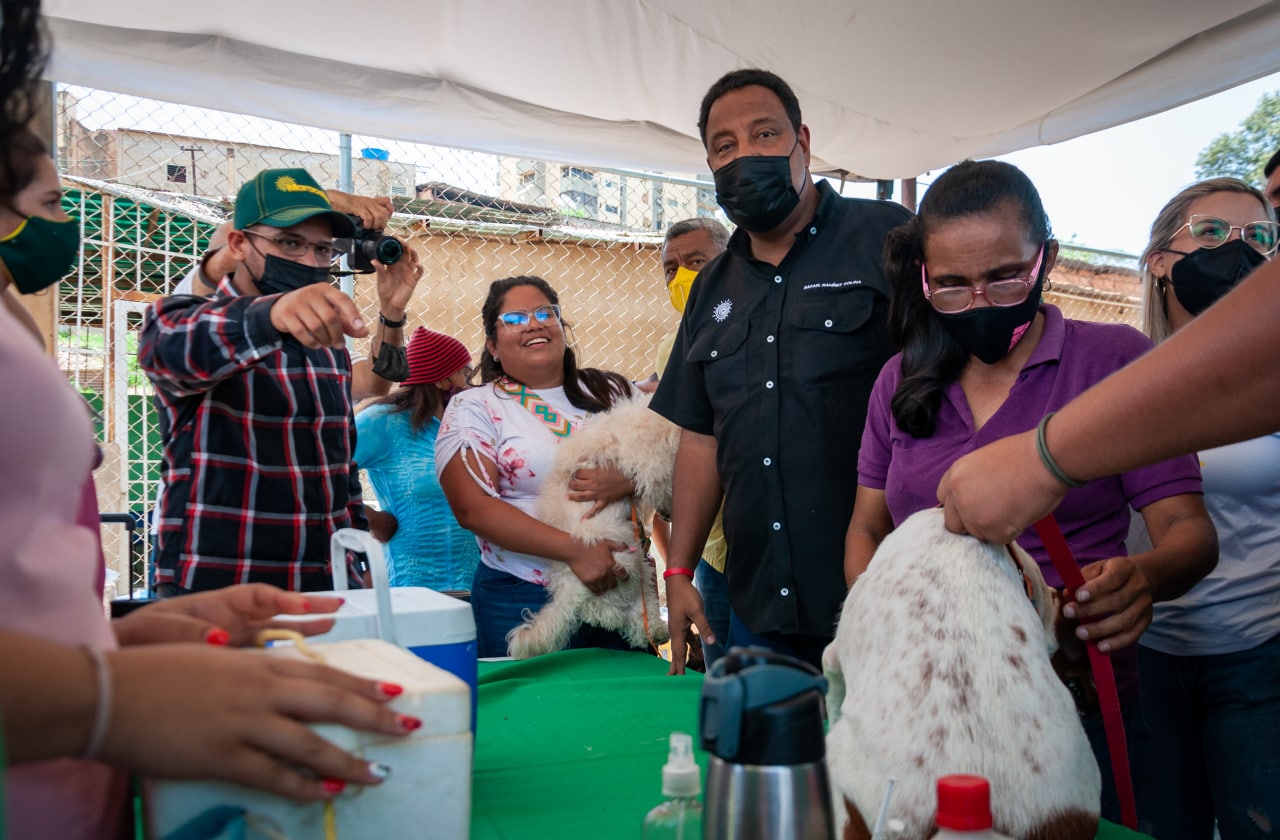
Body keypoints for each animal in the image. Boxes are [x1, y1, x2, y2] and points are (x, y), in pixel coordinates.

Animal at [505, 394, 679, 659]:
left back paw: (659, 631)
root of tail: (568, 594)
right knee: (610, 615)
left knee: (628, 618)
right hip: (625, 556)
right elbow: (663, 488)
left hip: (640, 572)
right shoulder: (651, 468)